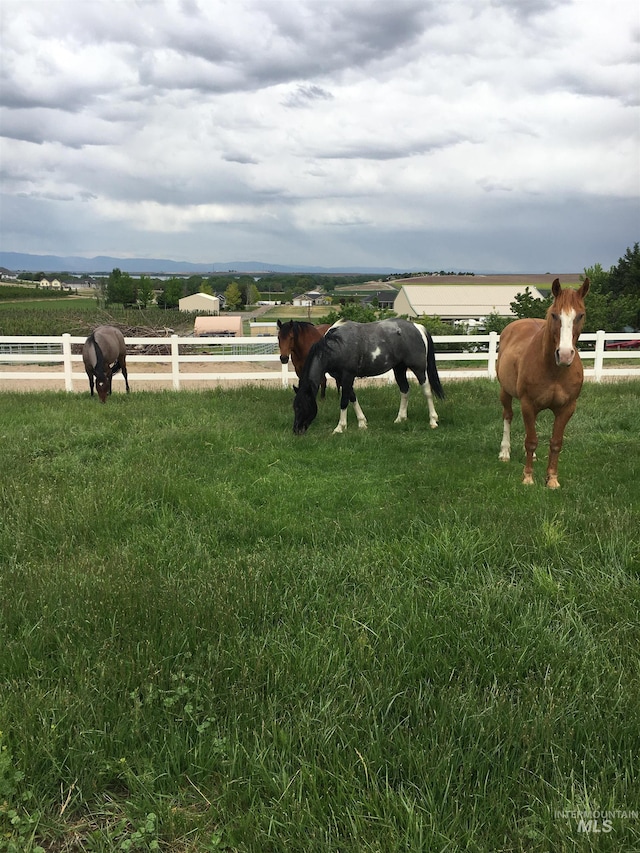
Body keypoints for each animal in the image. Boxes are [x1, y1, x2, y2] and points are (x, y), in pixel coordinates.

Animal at [292, 318, 442, 436]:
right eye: (294, 407)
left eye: (301, 406)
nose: (296, 430)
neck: (337, 345)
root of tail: (418, 327)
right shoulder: (342, 378)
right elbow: (352, 398)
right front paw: (362, 423)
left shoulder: (347, 376)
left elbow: (344, 401)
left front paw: (340, 427)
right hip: (399, 369)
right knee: (405, 390)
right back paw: (400, 418)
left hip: (419, 369)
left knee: (427, 391)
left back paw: (433, 421)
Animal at [498, 280, 592, 490]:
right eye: (555, 314)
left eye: (580, 315)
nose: (564, 355)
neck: (554, 371)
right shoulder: (527, 404)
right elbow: (531, 440)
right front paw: (527, 478)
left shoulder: (567, 408)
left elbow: (555, 443)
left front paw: (552, 479)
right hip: (505, 392)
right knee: (508, 416)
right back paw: (504, 452)